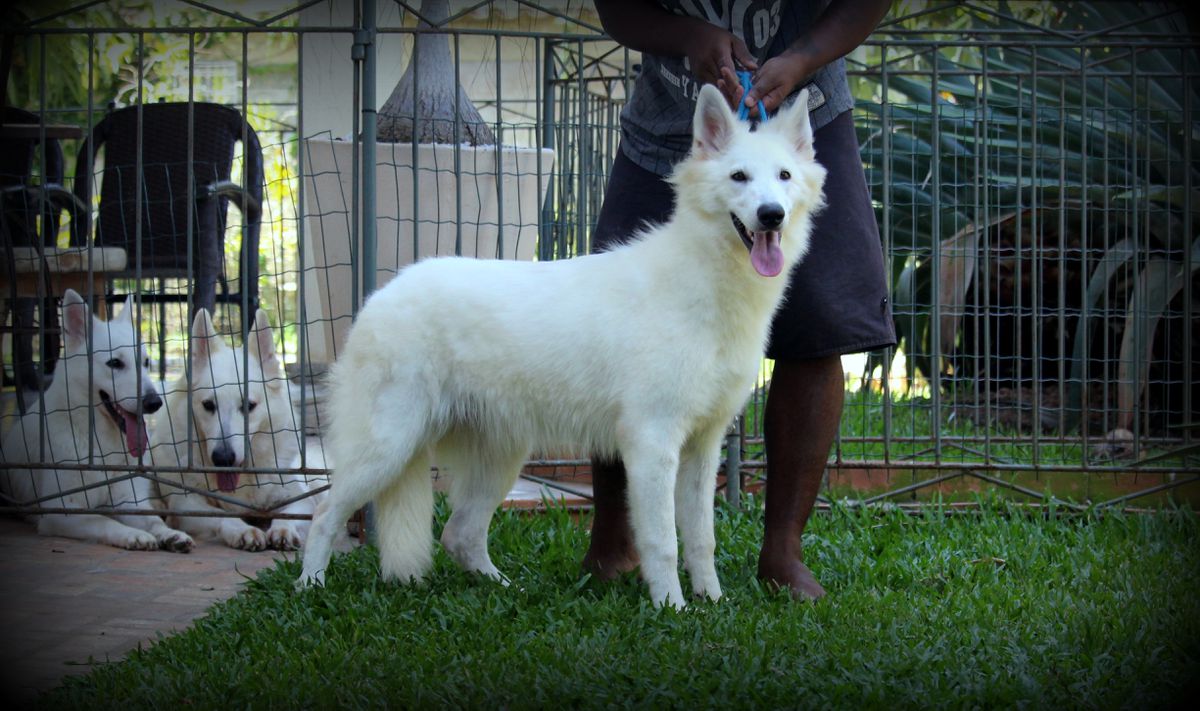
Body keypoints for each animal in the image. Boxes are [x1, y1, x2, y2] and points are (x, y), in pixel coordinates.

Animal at [0, 288, 192, 550]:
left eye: (145, 362)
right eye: (115, 363)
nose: (154, 403)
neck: (101, 445)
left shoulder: (129, 501)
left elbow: (152, 520)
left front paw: (169, 534)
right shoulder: (63, 511)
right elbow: (103, 520)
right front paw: (134, 535)